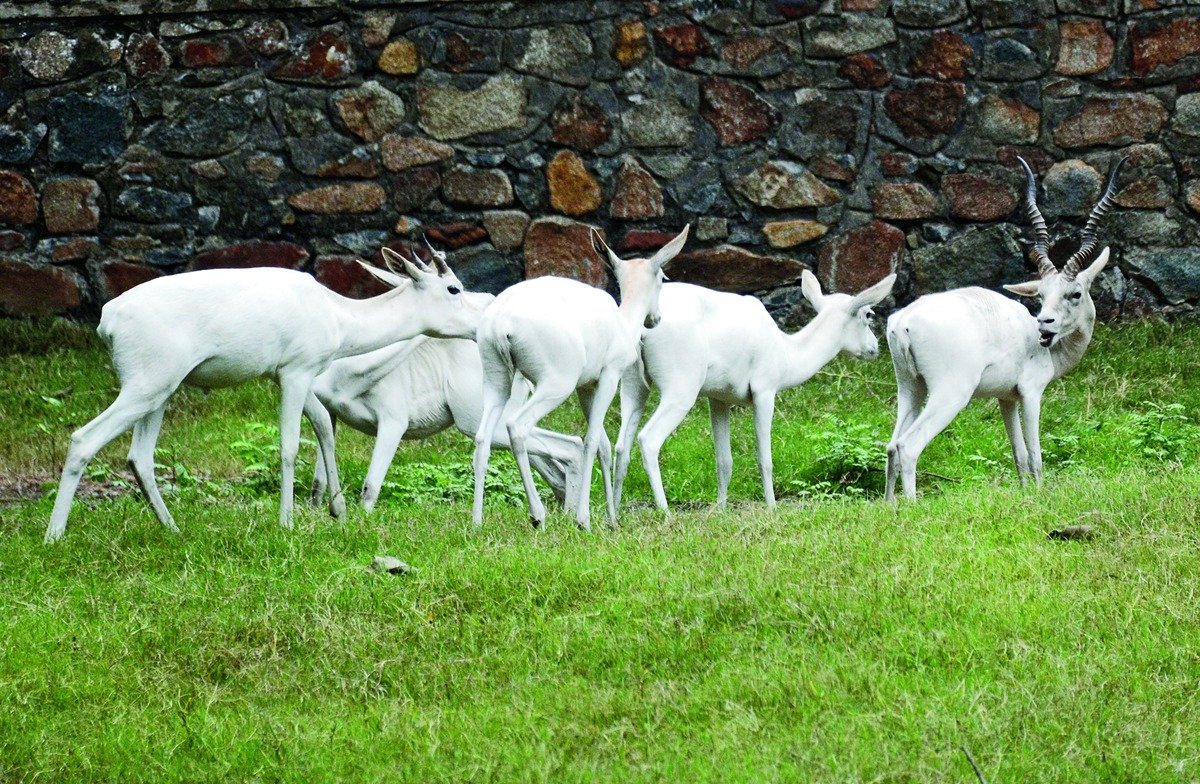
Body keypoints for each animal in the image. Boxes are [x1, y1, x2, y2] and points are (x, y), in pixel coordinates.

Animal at [45, 248, 482, 543]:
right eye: (454, 288)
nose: (480, 325)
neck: (337, 315)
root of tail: (108, 319)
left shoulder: (286, 375)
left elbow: (324, 426)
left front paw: (337, 510)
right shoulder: (296, 372)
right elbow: (289, 445)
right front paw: (287, 522)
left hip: (159, 393)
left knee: (140, 456)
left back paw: (172, 528)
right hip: (144, 387)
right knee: (83, 439)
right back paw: (54, 536)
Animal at [306, 294, 587, 514]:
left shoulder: (393, 423)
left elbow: (370, 485)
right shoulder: (330, 412)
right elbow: (320, 480)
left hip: (478, 425)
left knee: (570, 446)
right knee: (560, 459)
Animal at [472, 225, 689, 530]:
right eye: (662, 278)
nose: (655, 319)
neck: (623, 323)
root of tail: (501, 321)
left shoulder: (586, 387)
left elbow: (604, 446)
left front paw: (612, 520)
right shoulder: (609, 376)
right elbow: (591, 441)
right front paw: (584, 519)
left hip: (497, 379)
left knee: (483, 437)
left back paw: (476, 523)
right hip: (554, 385)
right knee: (517, 426)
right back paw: (537, 515)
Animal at [613, 269, 896, 513]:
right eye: (868, 315)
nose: (874, 348)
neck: (786, 352)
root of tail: (642, 327)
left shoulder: (718, 399)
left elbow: (724, 461)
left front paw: (721, 509)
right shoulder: (765, 391)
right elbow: (765, 459)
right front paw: (772, 507)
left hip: (633, 387)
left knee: (621, 445)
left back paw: (613, 513)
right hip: (680, 390)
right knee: (648, 439)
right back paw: (665, 511)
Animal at [884, 155, 1124, 502]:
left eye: (1073, 294)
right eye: (1041, 295)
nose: (1045, 323)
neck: (1044, 349)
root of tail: (904, 321)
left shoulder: (1006, 398)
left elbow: (1018, 453)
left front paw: (1026, 495)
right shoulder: (1031, 393)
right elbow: (1035, 454)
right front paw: (1040, 495)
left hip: (910, 387)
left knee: (891, 445)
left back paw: (891, 506)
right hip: (950, 393)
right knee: (908, 446)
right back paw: (913, 506)